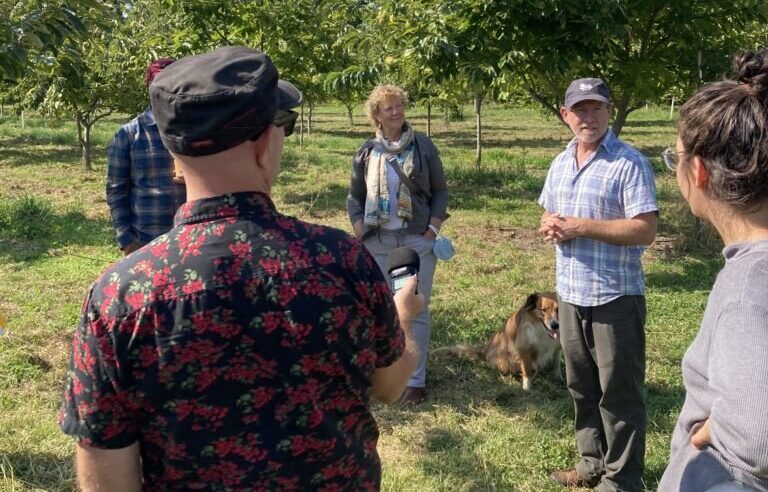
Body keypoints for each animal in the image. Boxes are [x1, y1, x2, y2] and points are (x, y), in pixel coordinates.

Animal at [432, 292, 564, 392]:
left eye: (558, 309)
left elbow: (556, 363)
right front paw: (527, 387)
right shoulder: (524, 349)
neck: (541, 329)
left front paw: (558, 377)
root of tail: (485, 350)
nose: (555, 325)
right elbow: (527, 370)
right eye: (544, 310)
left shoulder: (556, 347)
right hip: (505, 361)